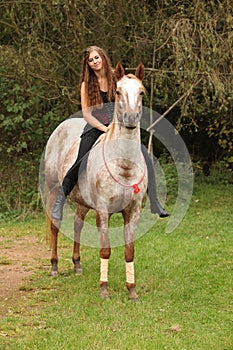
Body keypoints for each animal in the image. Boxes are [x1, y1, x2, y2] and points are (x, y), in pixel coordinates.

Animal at [44, 61, 147, 300]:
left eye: (141, 92)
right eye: (118, 92)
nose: (130, 118)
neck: (123, 166)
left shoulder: (133, 211)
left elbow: (129, 251)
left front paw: (132, 290)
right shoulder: (103, 210)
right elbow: (105, 250)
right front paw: (104, 289)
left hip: (82, 202)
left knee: (77, 225)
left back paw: (77, 264)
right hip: (54, 191)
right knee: (55, 225)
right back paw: (54, 267)